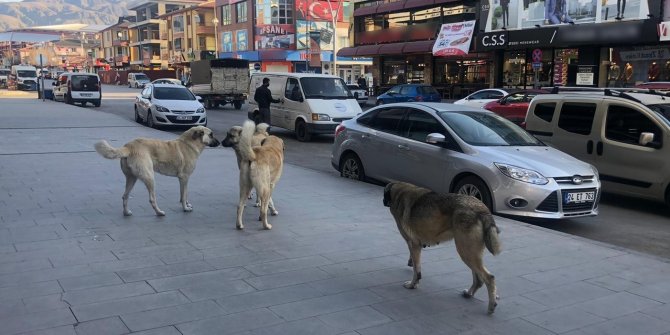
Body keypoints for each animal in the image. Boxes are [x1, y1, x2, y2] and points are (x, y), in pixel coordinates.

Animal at [386, 182, 502, 314]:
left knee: (489, 278)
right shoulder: (416, 245)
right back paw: (469, 294)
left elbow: (417, 270)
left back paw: (491, 306)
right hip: (471, 253)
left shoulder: (413, 243)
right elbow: (416, 263)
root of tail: (482, 209)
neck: (399, 193)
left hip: (465, 251)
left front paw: (412, 285)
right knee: (479, 279)